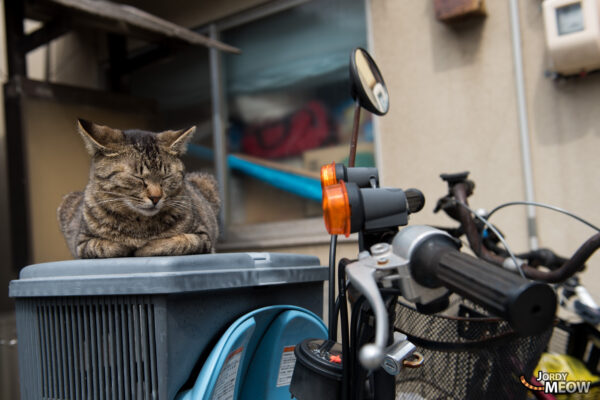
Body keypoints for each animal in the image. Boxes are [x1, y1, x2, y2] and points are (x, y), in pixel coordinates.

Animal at [58, 119, 220, 258]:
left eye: (166, 177)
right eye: (137, 178)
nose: (156, 197)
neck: (139, 224)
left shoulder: (203, 237)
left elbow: (179, 241)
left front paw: (146, 247)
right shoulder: (82, 243)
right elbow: (105, 246)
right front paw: (128, 246)